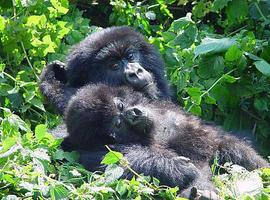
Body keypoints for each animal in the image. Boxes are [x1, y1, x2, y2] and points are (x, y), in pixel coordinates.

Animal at [64, 84, 268, 198]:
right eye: (118, 123)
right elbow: (120, 166)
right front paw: (177, 167)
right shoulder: (95, 151)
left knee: (232, 150)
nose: (133, 114)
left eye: (120, 105)